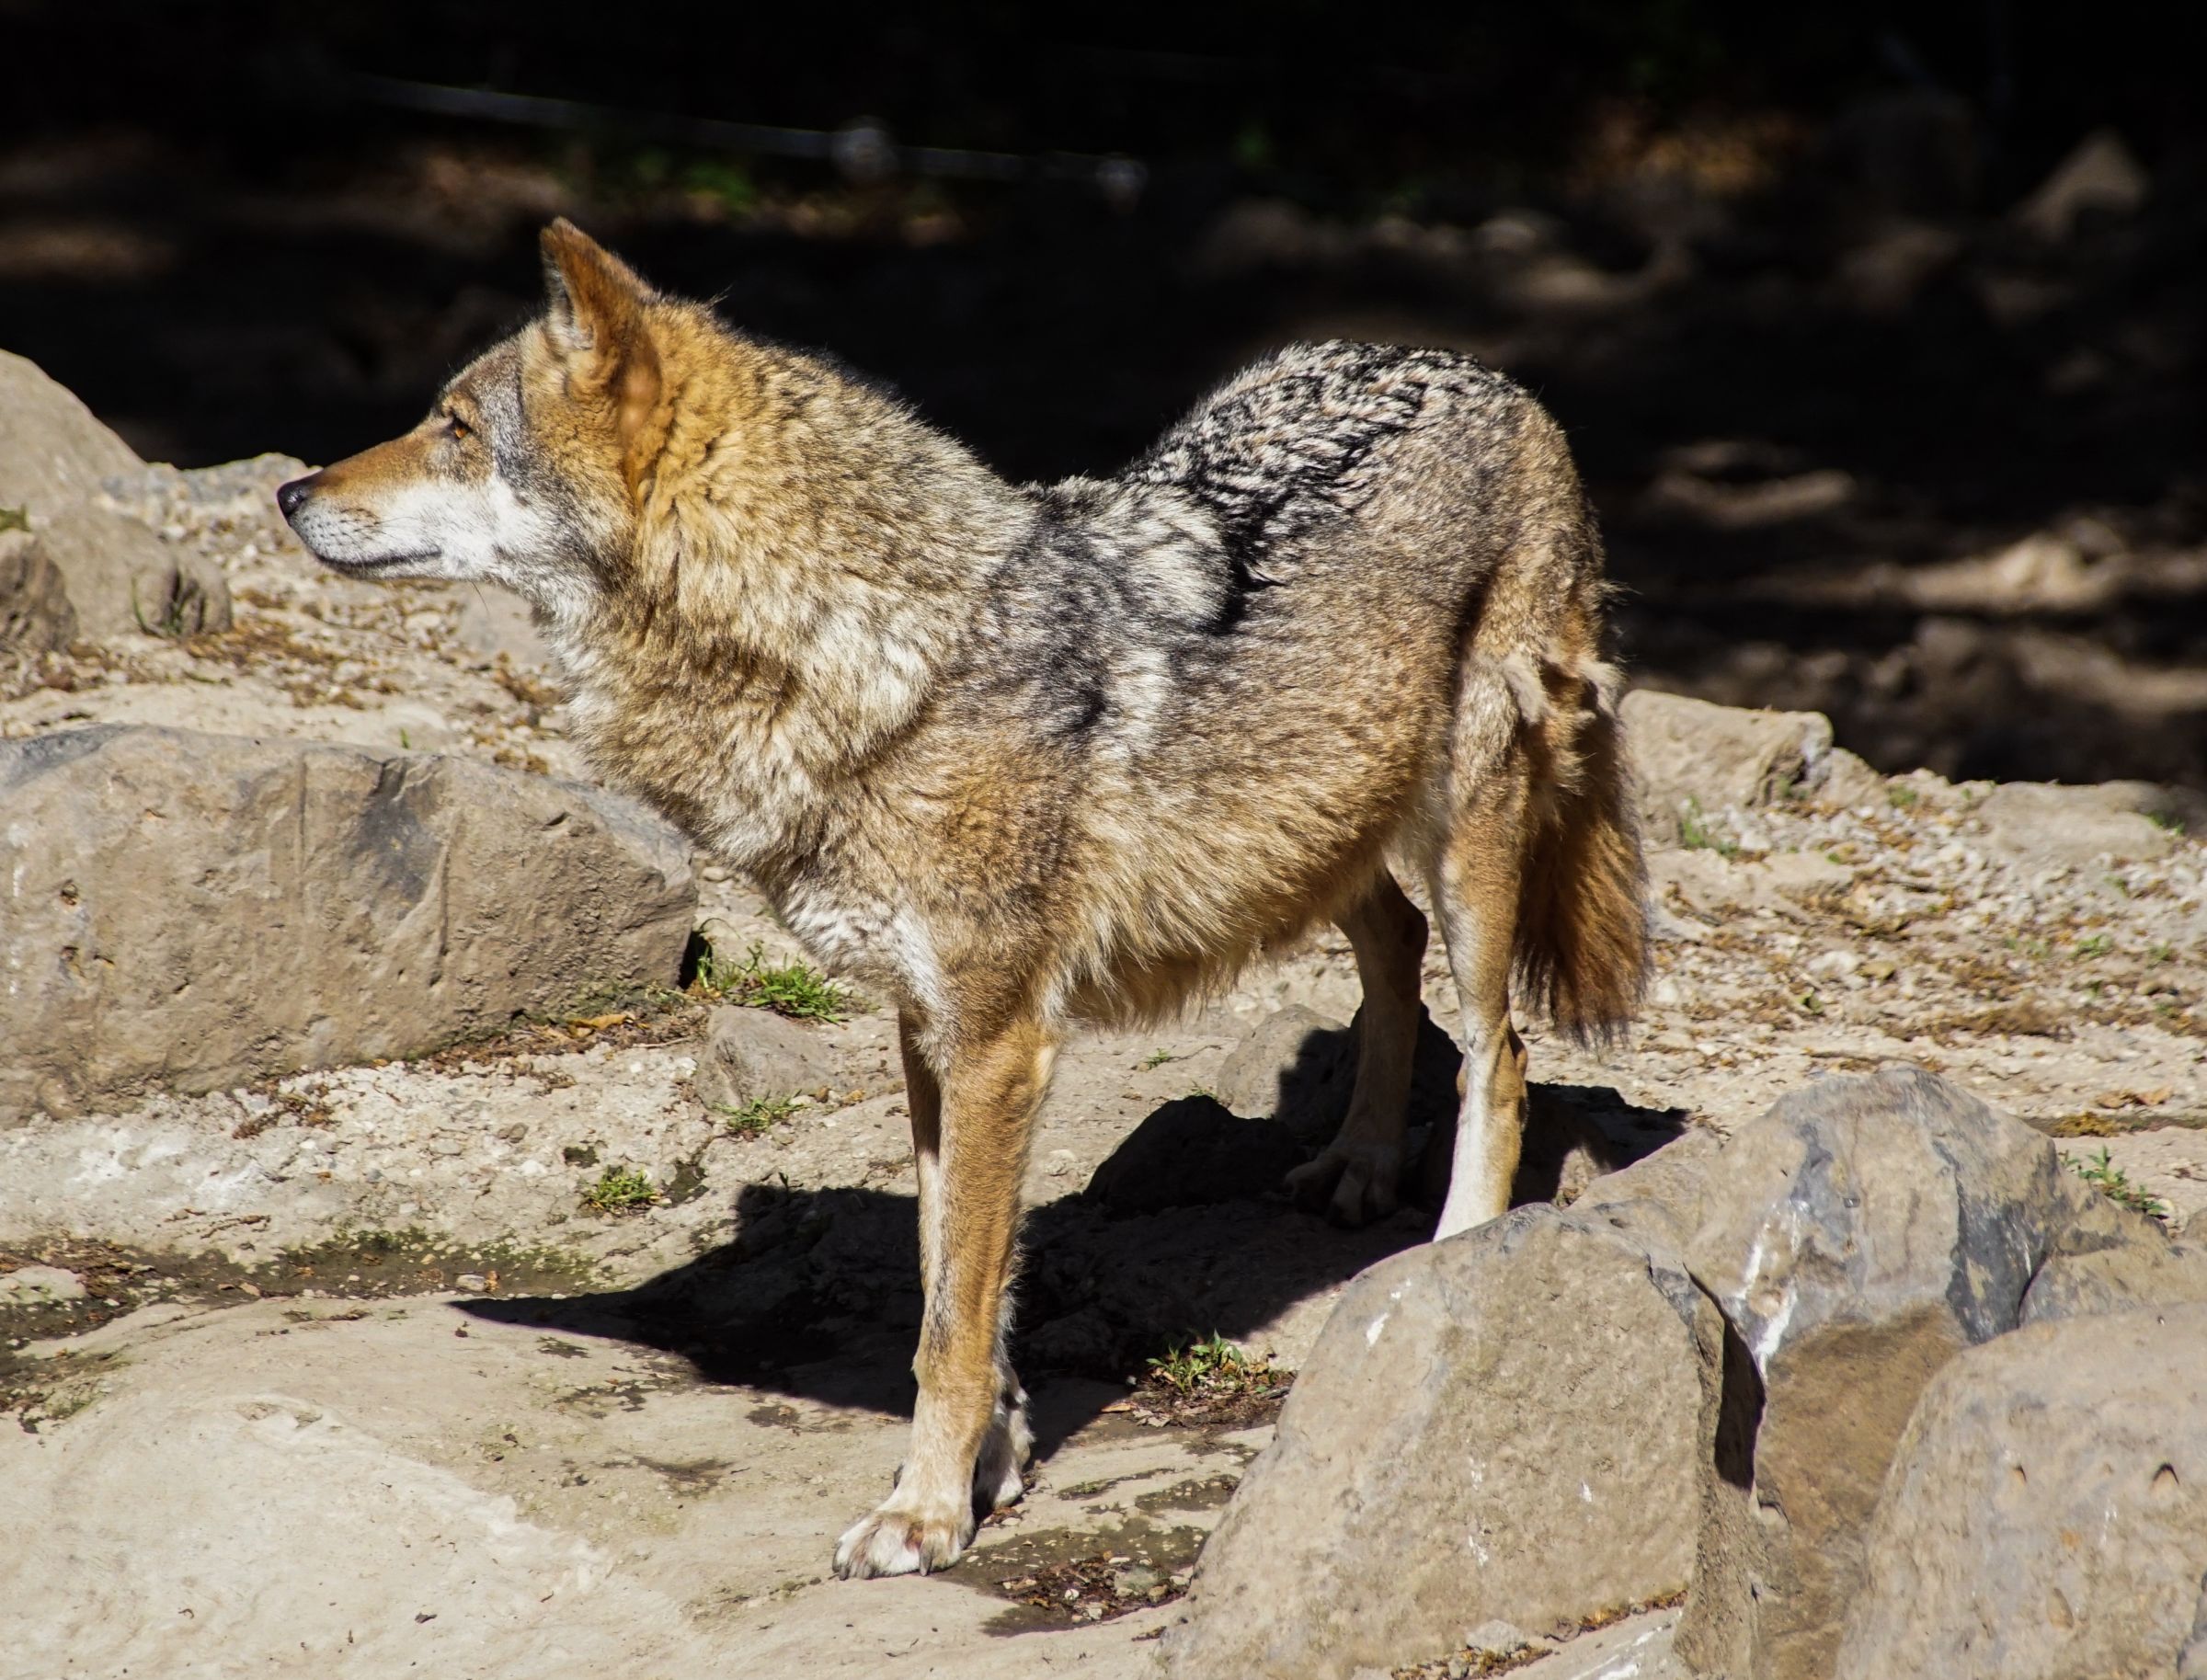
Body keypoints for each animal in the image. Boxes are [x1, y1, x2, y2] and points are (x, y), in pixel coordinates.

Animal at [278, 219, 1646, 1579]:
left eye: (455, 425)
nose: (290, 493)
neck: (871, 653)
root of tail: (1478, 370)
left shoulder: (997, 1044)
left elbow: (948, 1324)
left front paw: (923, 1515)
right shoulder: (925, 1034)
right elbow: (954, 1286)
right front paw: (987, 1462)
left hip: (1467, 840)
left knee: (1501, 1057)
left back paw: (1452, 1260)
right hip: (1314, 838)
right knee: (1393, 950)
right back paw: (1359, 1163)